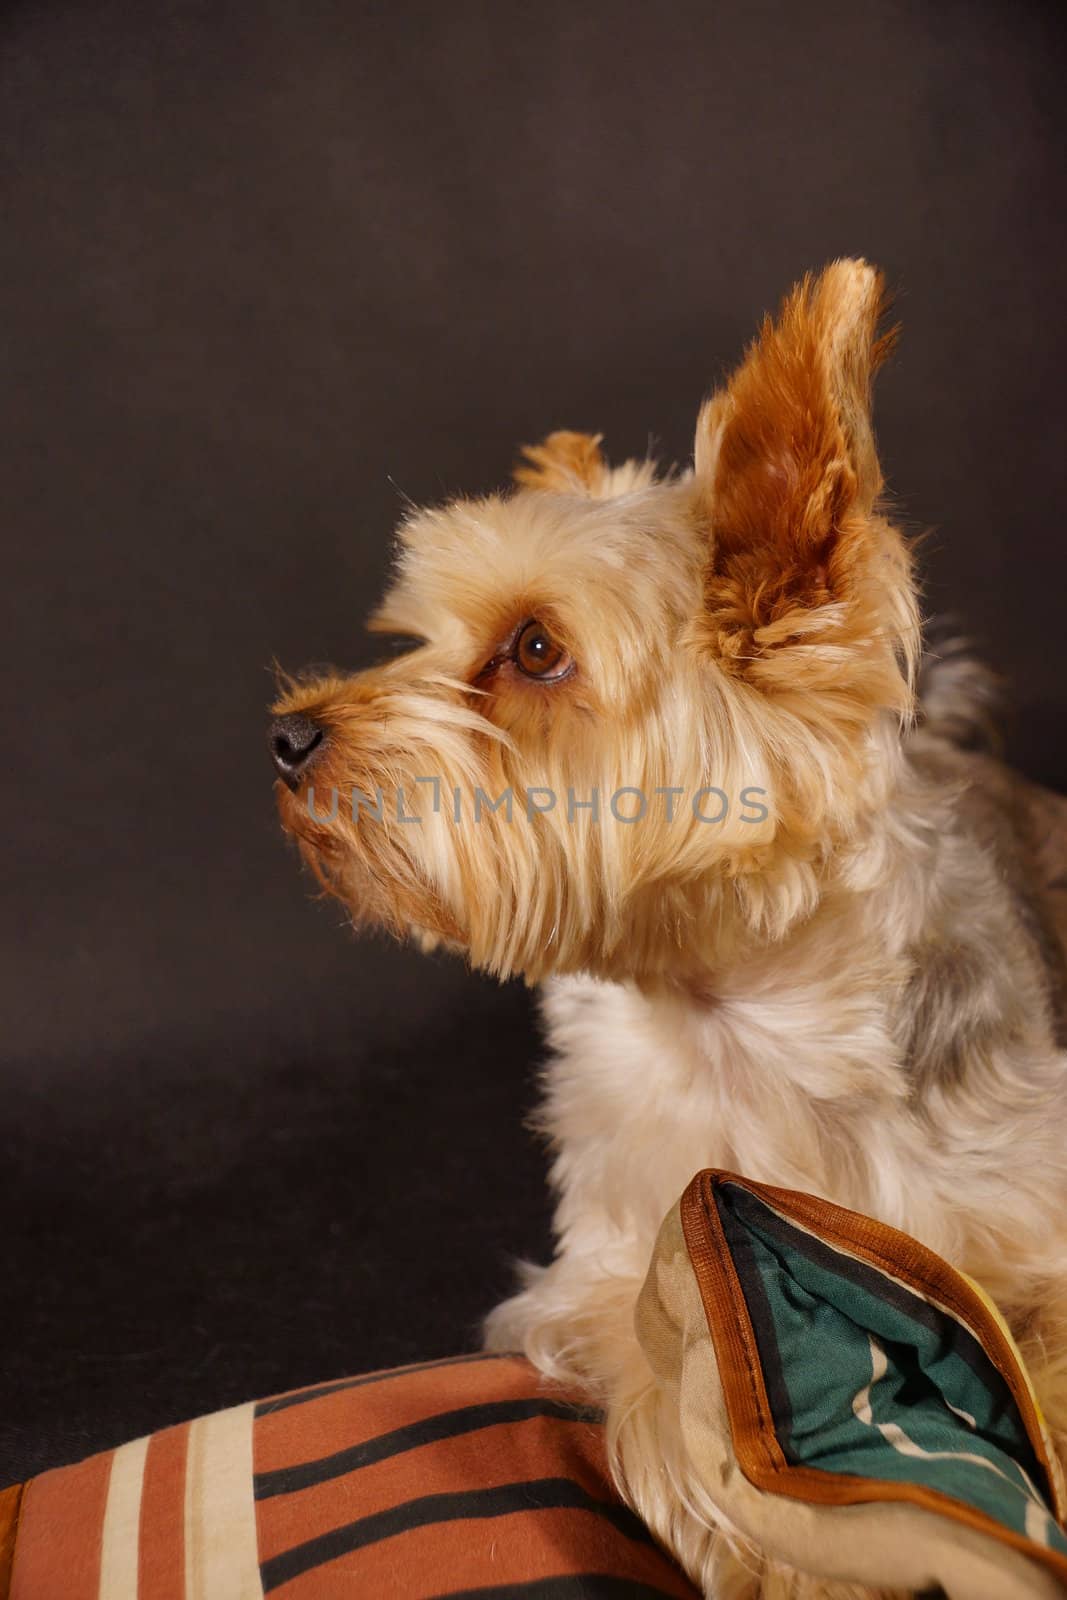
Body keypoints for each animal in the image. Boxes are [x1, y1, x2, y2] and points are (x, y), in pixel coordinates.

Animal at [268, 256, 1067, 1593]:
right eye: (419, 640)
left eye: (535, 647)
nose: (285, 735)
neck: (734, 1012)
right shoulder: (601, 1273)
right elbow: (664, 1382)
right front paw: (796, 1548)